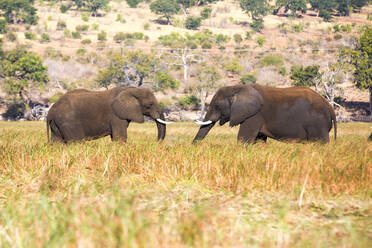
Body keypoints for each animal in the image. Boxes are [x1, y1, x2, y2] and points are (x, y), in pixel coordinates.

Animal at [195, 84, 338, 143]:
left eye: (217, 106)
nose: (194, 148)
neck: (238, 87)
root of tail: (329, 106)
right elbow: (258, 140)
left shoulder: (255, 115)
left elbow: (244, 138)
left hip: (317, 122)